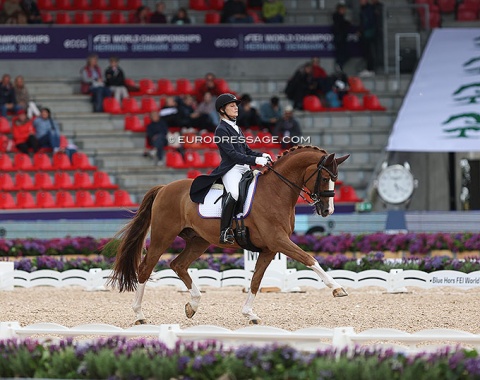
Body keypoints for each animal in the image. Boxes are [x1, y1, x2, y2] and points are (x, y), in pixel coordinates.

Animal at [108, 145, 348, 324]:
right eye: (324, 177)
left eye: (335, 178)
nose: (327, 211)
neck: (276, 191)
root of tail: (164, 188)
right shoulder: (278, 241)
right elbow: (309, 258)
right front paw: (337, 288)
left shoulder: (269, 249)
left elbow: (256, 280)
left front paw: (249, 314)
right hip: (163, 236)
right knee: (145, 269)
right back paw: (139, 315)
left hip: (198, 241)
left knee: (178, 264)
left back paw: (193, 305)